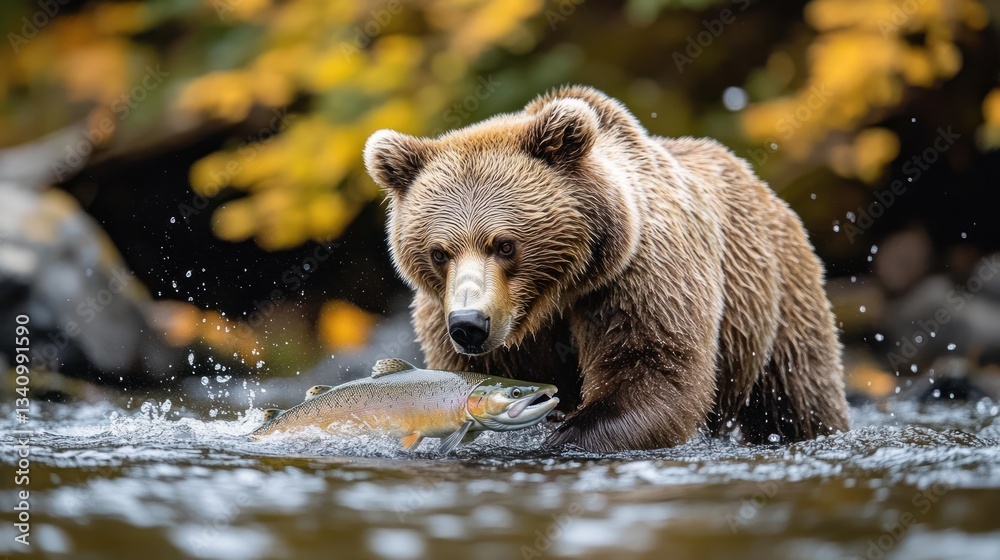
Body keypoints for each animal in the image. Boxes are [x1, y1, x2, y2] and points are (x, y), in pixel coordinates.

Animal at [363, 85, 850, 452]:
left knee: (797, 395)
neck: (552, 297)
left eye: (504, 244)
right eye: (439, 252)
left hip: (774, 299)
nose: (469, 324)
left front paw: (566, 437)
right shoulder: (455, 320)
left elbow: (652, 366)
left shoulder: (636, 277)